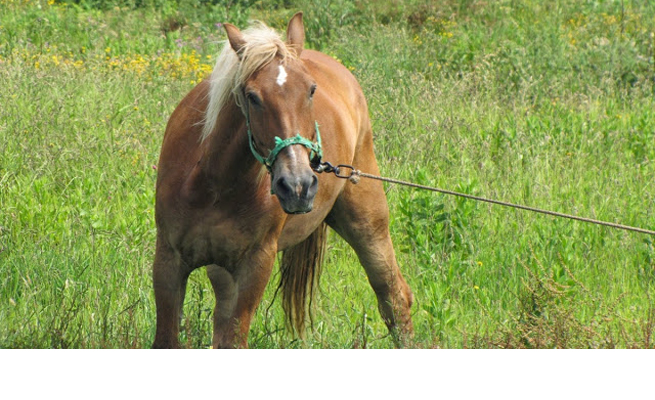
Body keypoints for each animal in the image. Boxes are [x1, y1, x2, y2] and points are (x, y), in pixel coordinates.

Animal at [151, 13, 412, 346]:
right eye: (252, 97)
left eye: (311, 90)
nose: (298, 186)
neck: (213, 185)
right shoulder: (168, 262)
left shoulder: (255, 265)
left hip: (367, 224)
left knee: (394, 296)